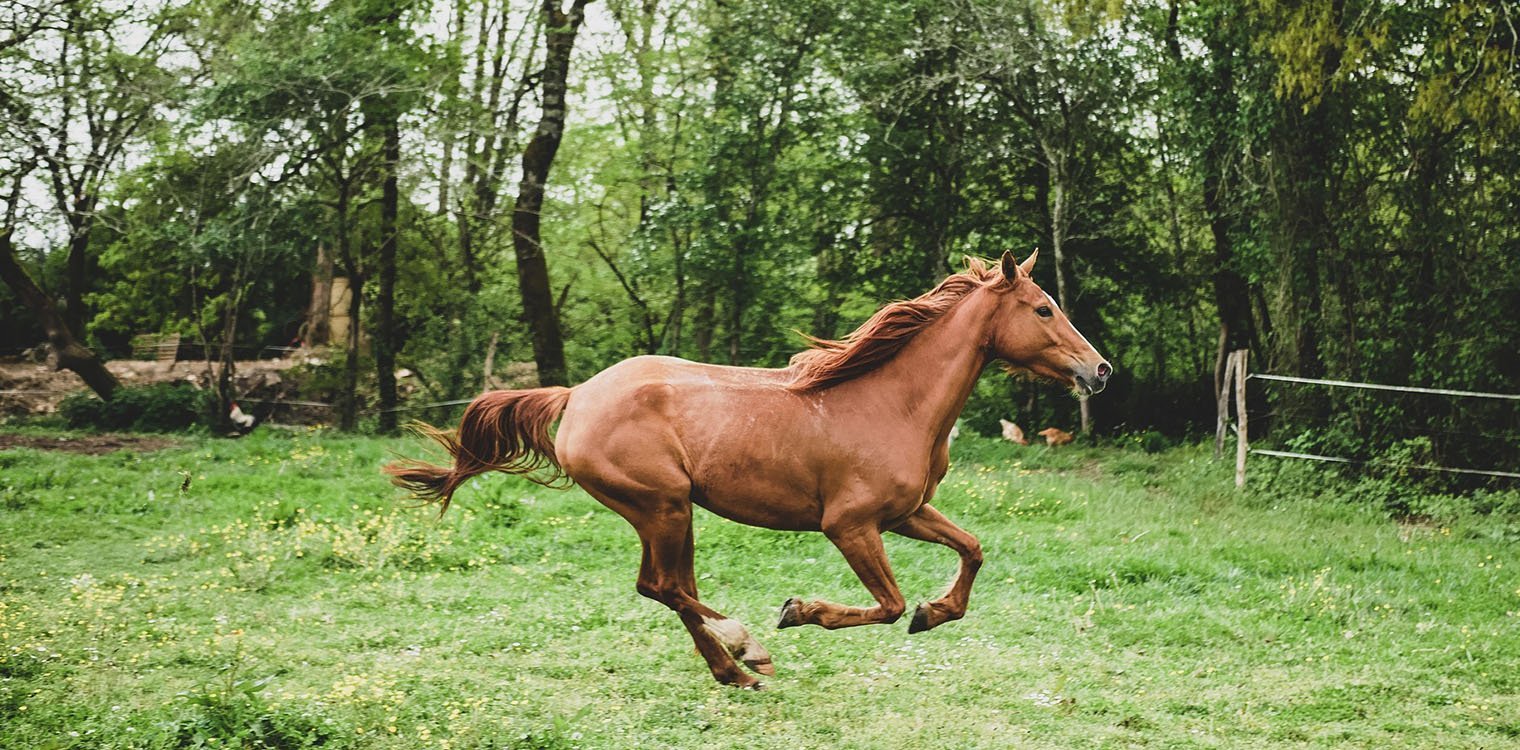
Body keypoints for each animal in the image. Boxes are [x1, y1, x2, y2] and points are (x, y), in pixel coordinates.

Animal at [386, 247, 1112, 687]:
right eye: (1043, 308)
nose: (1099, 369)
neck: (891, 403)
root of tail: (577, 395)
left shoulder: (905, 513)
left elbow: (973, 550)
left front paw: (936, 613)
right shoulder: (850, 526)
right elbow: (887, 603)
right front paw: (801, 611)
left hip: (670, 514)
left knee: (666, 588)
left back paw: (732, 668)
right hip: (662, 506)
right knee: (665, 587)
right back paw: (745, 649)